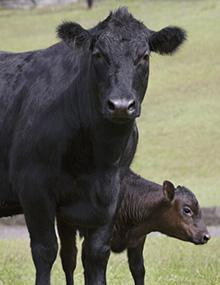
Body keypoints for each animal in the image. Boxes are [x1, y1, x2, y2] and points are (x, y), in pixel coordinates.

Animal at [0, 7, 186, 282]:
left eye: (144, 56)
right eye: (98, 54)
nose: (121, 105)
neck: (96, 158)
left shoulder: (113, 192)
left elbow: (96, 253)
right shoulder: (33, 187)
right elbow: (45, 250)